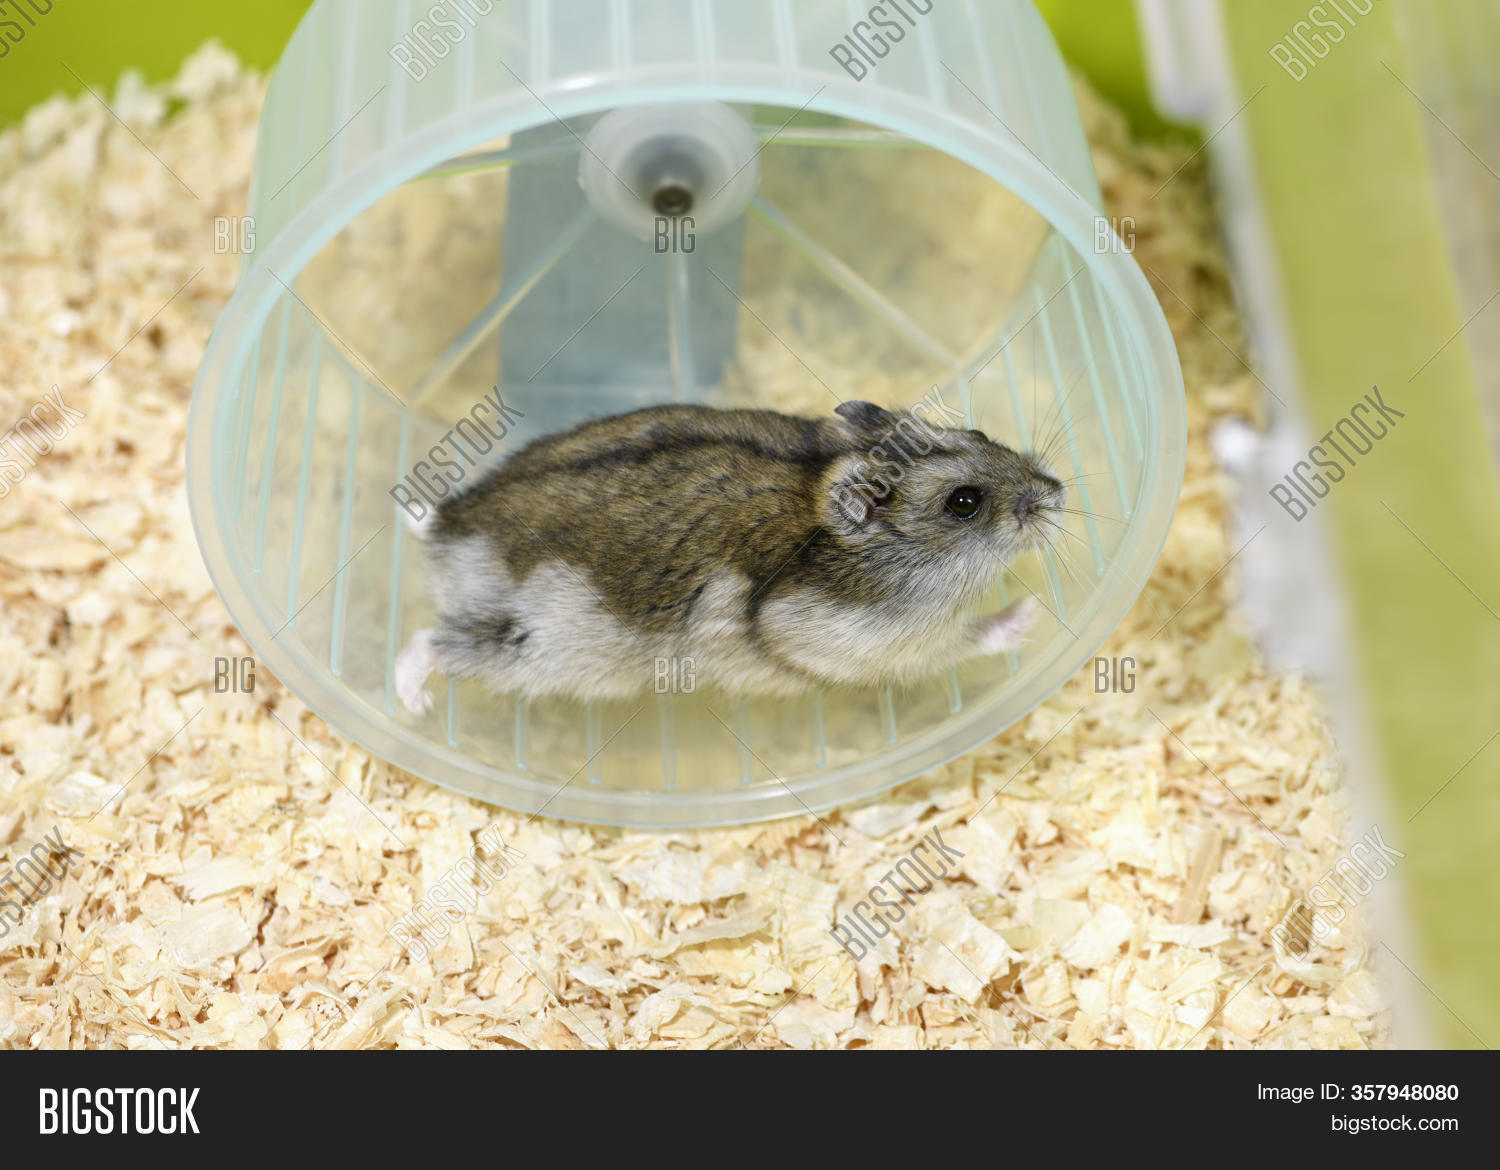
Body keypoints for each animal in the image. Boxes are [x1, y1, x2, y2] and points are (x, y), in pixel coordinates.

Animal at [395, 399, 1066, 712]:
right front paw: (1026, 618)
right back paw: (415, 701)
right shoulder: (882, 646)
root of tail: (449, 526)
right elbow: (968, 637)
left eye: (979, 433)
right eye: (964, 503)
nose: (1059, 494)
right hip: (537, 647)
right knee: (431, 642)